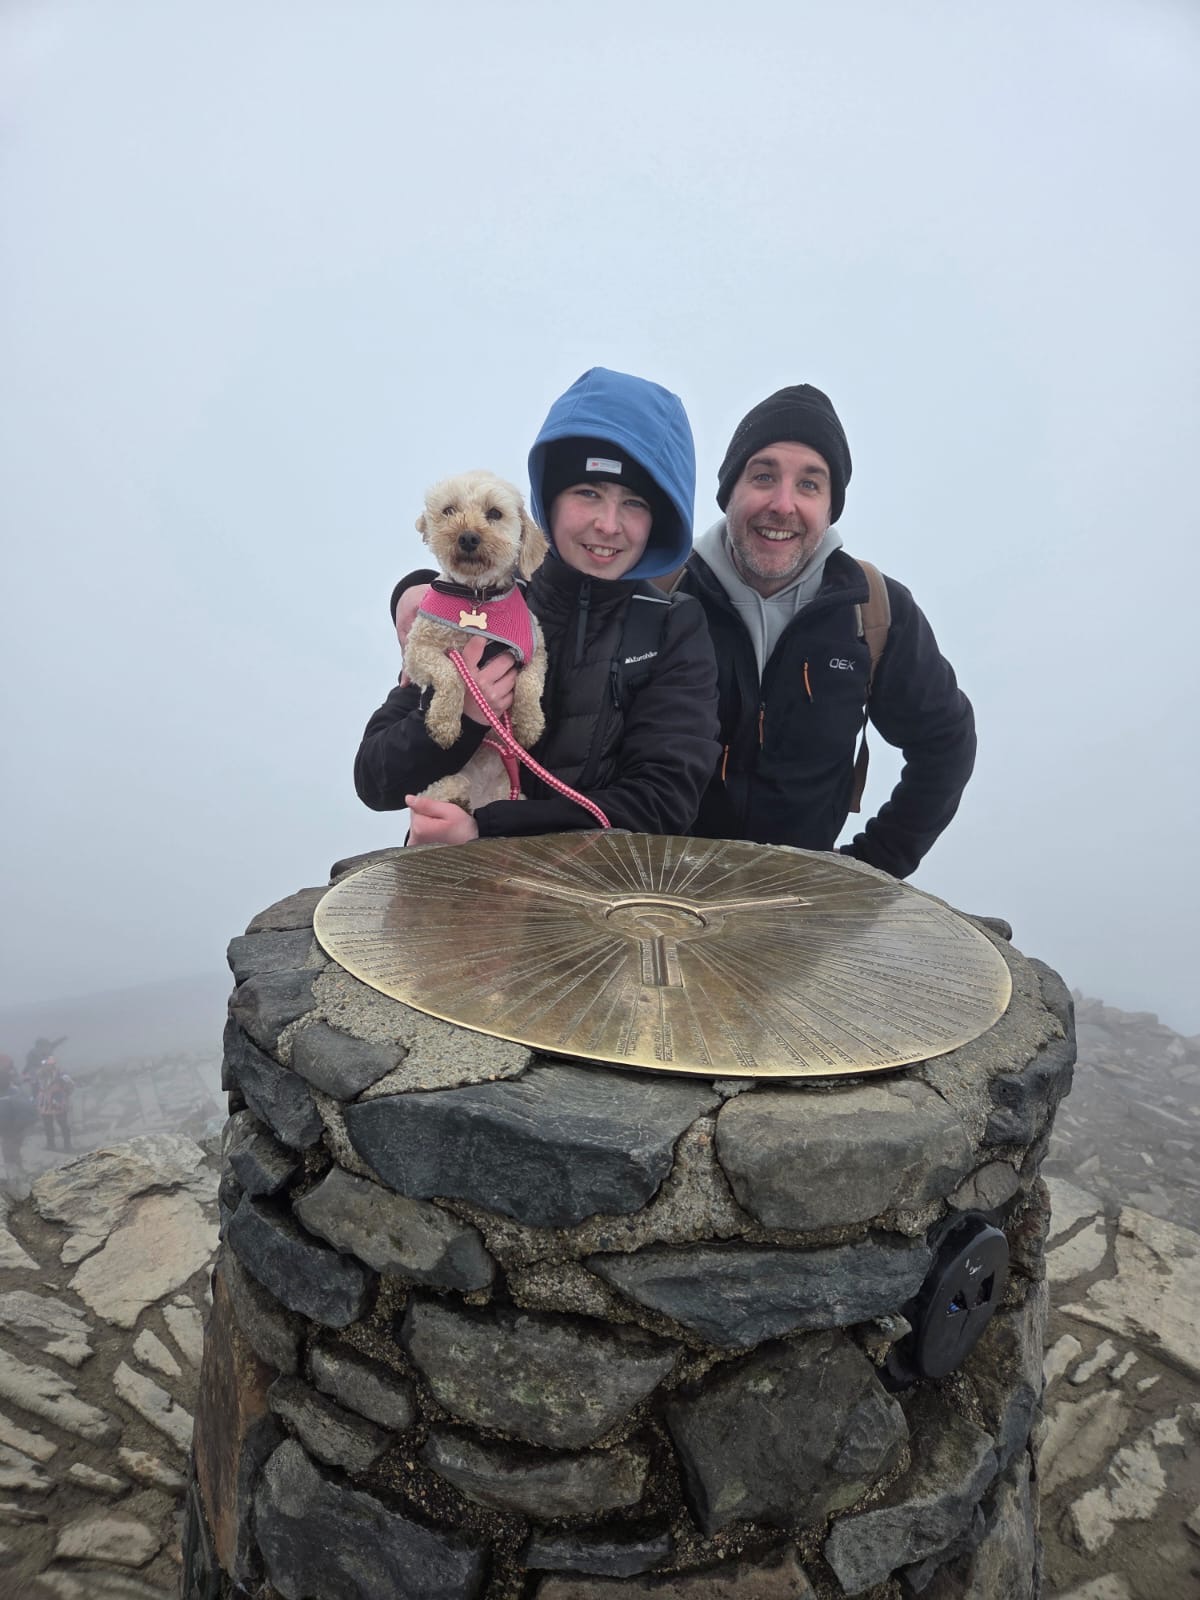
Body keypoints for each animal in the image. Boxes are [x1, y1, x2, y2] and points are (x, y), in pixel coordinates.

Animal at [403, 469, 548, 814]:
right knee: (436, 792)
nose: (468, 537)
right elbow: (450, 673)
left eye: (494, 513)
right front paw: (444, 723)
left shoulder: (535, 649)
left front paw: (529, 724)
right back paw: (456, 797)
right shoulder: (418, 651)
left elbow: (529, 684)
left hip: (508, 791)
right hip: (439, 784)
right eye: (449, 510)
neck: (476, 597)